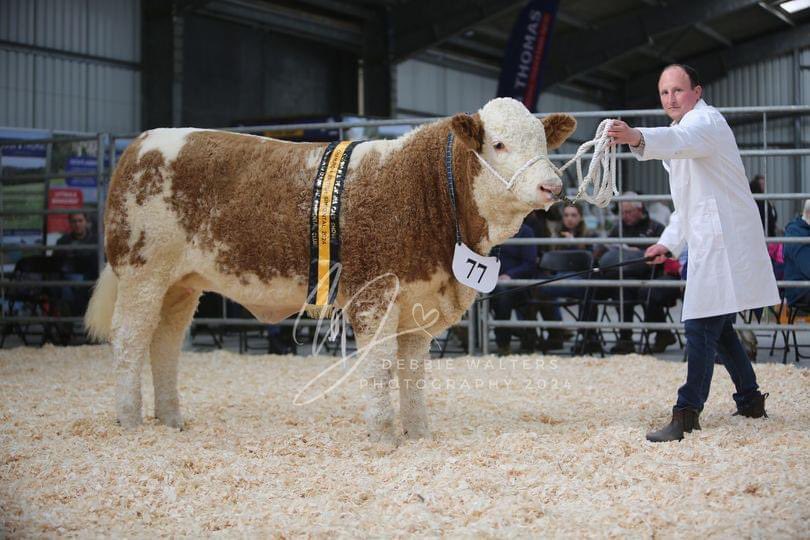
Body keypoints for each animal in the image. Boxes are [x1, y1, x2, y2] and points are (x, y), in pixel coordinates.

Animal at [85, 97, 576, 448]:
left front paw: (419, 433)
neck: (427, 188)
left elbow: (413, 371)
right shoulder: (374, 295)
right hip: (143, 271)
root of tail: (140, 143)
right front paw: (383, 438)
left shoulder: (420, 302)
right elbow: (379, 367)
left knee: (165, 343)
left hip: (182, 285)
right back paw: (130, 422)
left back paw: (171, 420)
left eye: (544, 143)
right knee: (130, 340)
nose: (552, 186)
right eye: (498, 144)